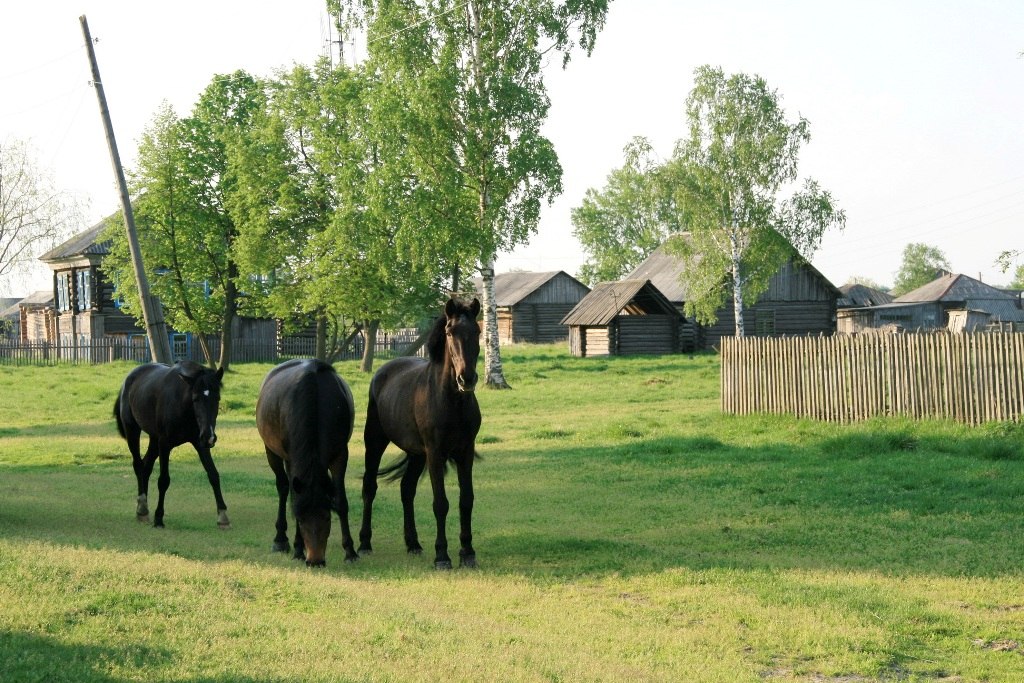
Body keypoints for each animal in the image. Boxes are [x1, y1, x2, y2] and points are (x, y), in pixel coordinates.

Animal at [115, 362, 229, 528]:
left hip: (154, 439)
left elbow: (213, 475)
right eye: (196, 399)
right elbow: (163, 480)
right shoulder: (165, 444)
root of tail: (129, 379)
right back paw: (142, 506)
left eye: (217, 398)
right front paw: (159, 518)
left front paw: (222, 516)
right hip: (133, 431)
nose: (210, 436)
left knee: (146, 466)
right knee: (138, 465)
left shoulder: (200, 443)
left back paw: (143, 508)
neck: (182, 405)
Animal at [256, 358, 360, 565]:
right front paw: (297, 548)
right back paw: (280, 540)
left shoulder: (340, 455)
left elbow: (341, 501)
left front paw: (350, 551)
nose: (315, 560)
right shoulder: (292, 459)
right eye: (302, 519)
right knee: (283, 487)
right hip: (272, 452)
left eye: (327, 518)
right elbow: (294, 498)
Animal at [360, 296, 483, 569]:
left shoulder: (465, 452)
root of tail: (382, 372)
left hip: (416, 454)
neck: (451, 401)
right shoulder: (435, 453)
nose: (466, 379)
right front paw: (442, 556)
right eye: (450, 332)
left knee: (407, 489)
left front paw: (468, 552)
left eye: (478, 331)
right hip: (375, 442)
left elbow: (466, 500)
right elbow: (441, 503)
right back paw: (363, 544)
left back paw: (413, 544)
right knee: (369, 487)